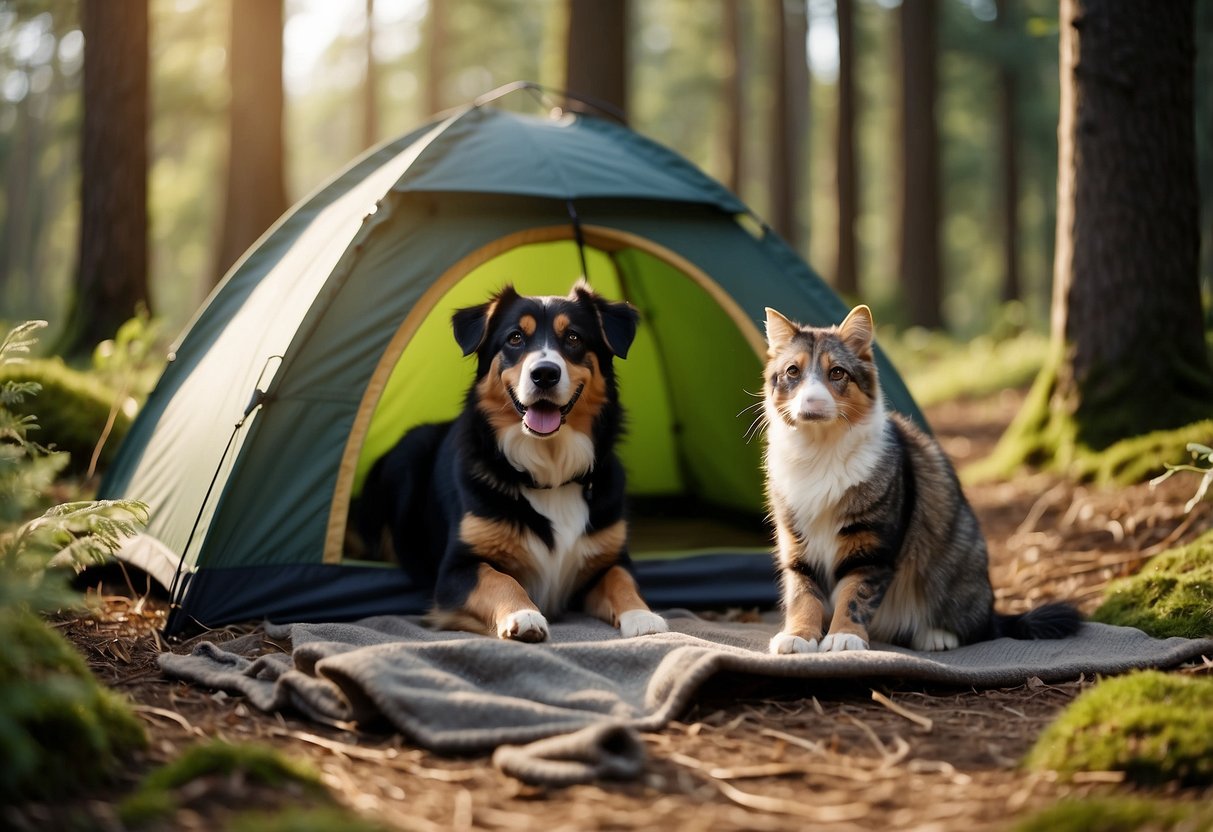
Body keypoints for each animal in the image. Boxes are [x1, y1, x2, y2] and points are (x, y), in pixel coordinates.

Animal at [354, 281, 669, 645]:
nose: (544, 374)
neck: (549, 470)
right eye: (515, 338)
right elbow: (499, 578)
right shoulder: (456, 569)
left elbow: (621, 579)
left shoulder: (609, 557)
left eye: (573, 337)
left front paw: (642, 616)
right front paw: (524, 614)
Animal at [756, 303, 1081, 654]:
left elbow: (855, 594)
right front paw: (799, 635)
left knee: (978, 628)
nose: (812, 402)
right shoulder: (797, 544)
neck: (819, 450)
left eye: (838, 373)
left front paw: (844, 635)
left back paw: (937, 635)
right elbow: (803, 594)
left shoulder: (873, 547)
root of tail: (994, 610)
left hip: (957, 566)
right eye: (793, 372)